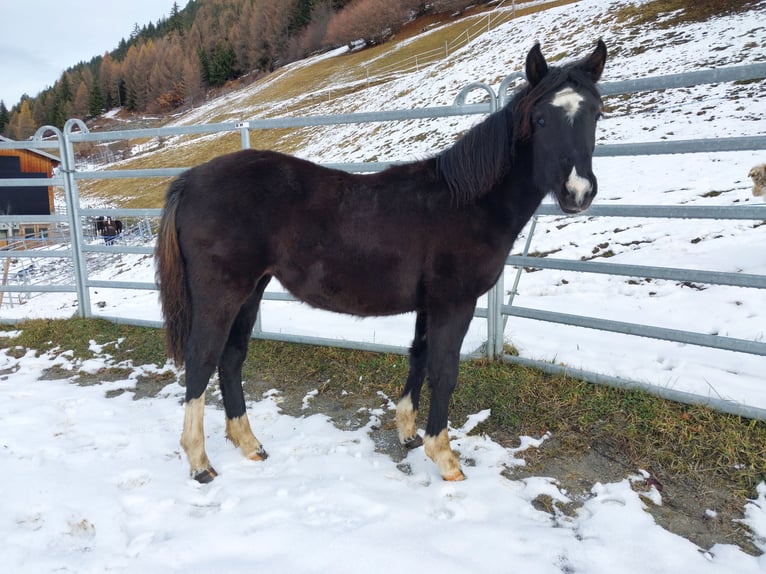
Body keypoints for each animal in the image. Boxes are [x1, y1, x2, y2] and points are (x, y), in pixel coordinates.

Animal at [156, 40, 607, 483]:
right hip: (221, 294)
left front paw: (409, 434)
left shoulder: (429, 304)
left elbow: (419, 357)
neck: (467, 203)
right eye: (541, 119)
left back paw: (249, 444)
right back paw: (199, 462)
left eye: (596, 112)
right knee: (201, 361)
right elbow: (445, 372)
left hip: (251, 291)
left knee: (231, 359)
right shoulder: (454, 303)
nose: (578, 192)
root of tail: (190, 180)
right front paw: (445, 458)